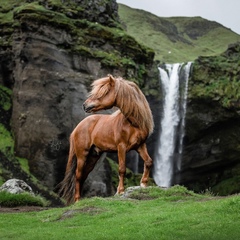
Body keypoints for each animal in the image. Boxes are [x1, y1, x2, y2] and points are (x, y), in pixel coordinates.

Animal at [59, 74, 155, 203]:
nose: (85, 105)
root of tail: (78, 127)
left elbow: (148, 162)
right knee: (78, 175)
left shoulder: (140, 145)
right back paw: (78, 200)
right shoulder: (121, 147)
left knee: (83, 175)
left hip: (93, 156)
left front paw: (143, 184)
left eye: (103, 92)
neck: (133, 124)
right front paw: (120, 191)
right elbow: (122, 169)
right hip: (82, 155)